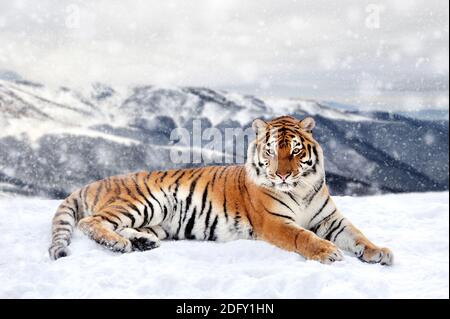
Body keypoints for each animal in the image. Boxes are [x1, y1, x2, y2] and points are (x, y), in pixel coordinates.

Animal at [50, 116, 394, 266]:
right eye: (271, 150)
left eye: (295, 150)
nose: (282, 175)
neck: (301, 189)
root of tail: (97, 181)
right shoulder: (274, 222)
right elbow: (303, 236)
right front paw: (328, 252)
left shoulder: (330, 219)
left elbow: (357, 235)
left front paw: (379, 252)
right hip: (144, 202)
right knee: (91, 222)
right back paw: (119, 244)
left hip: (155, 221)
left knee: (122, 227)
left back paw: (141, 243)